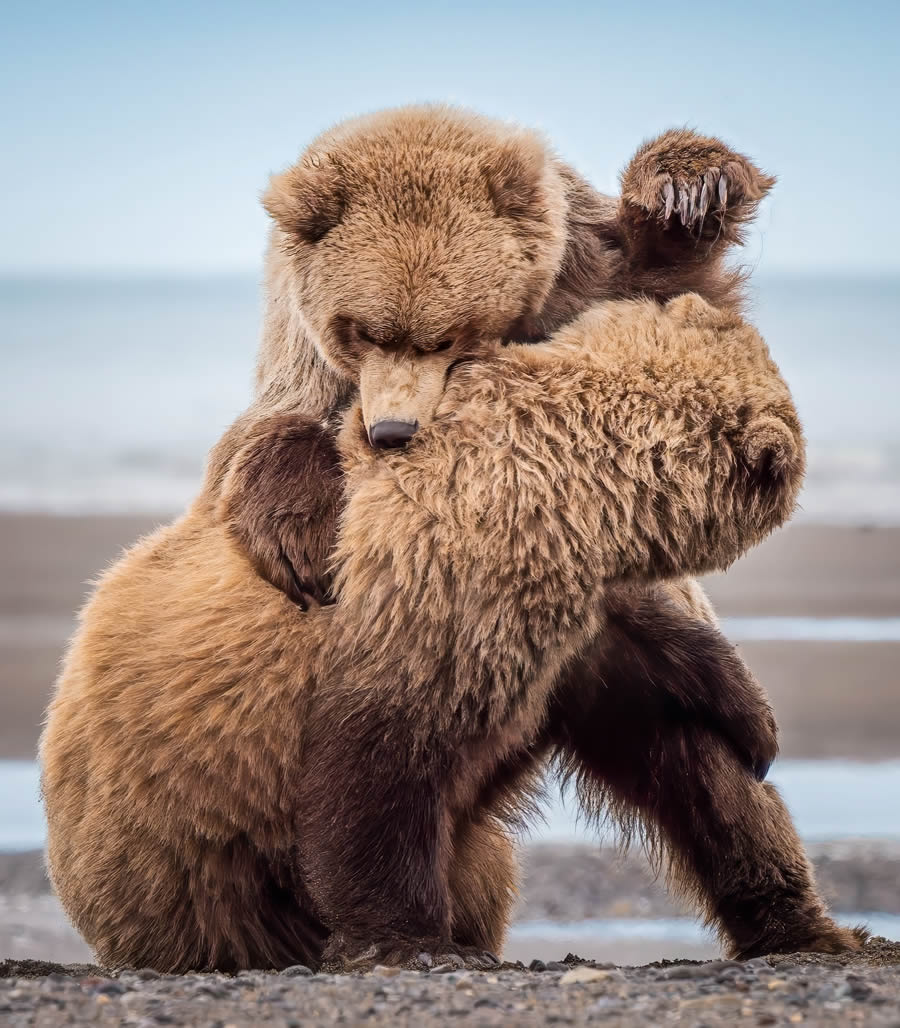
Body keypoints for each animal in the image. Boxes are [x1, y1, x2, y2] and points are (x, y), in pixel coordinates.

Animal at [42, 108, 859, 974]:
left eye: (448, 337)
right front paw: (407, 938)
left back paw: (803, 918)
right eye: (363, 331)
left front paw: (687, 189)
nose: (392, 430)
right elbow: (378, 759)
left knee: (689, 762)